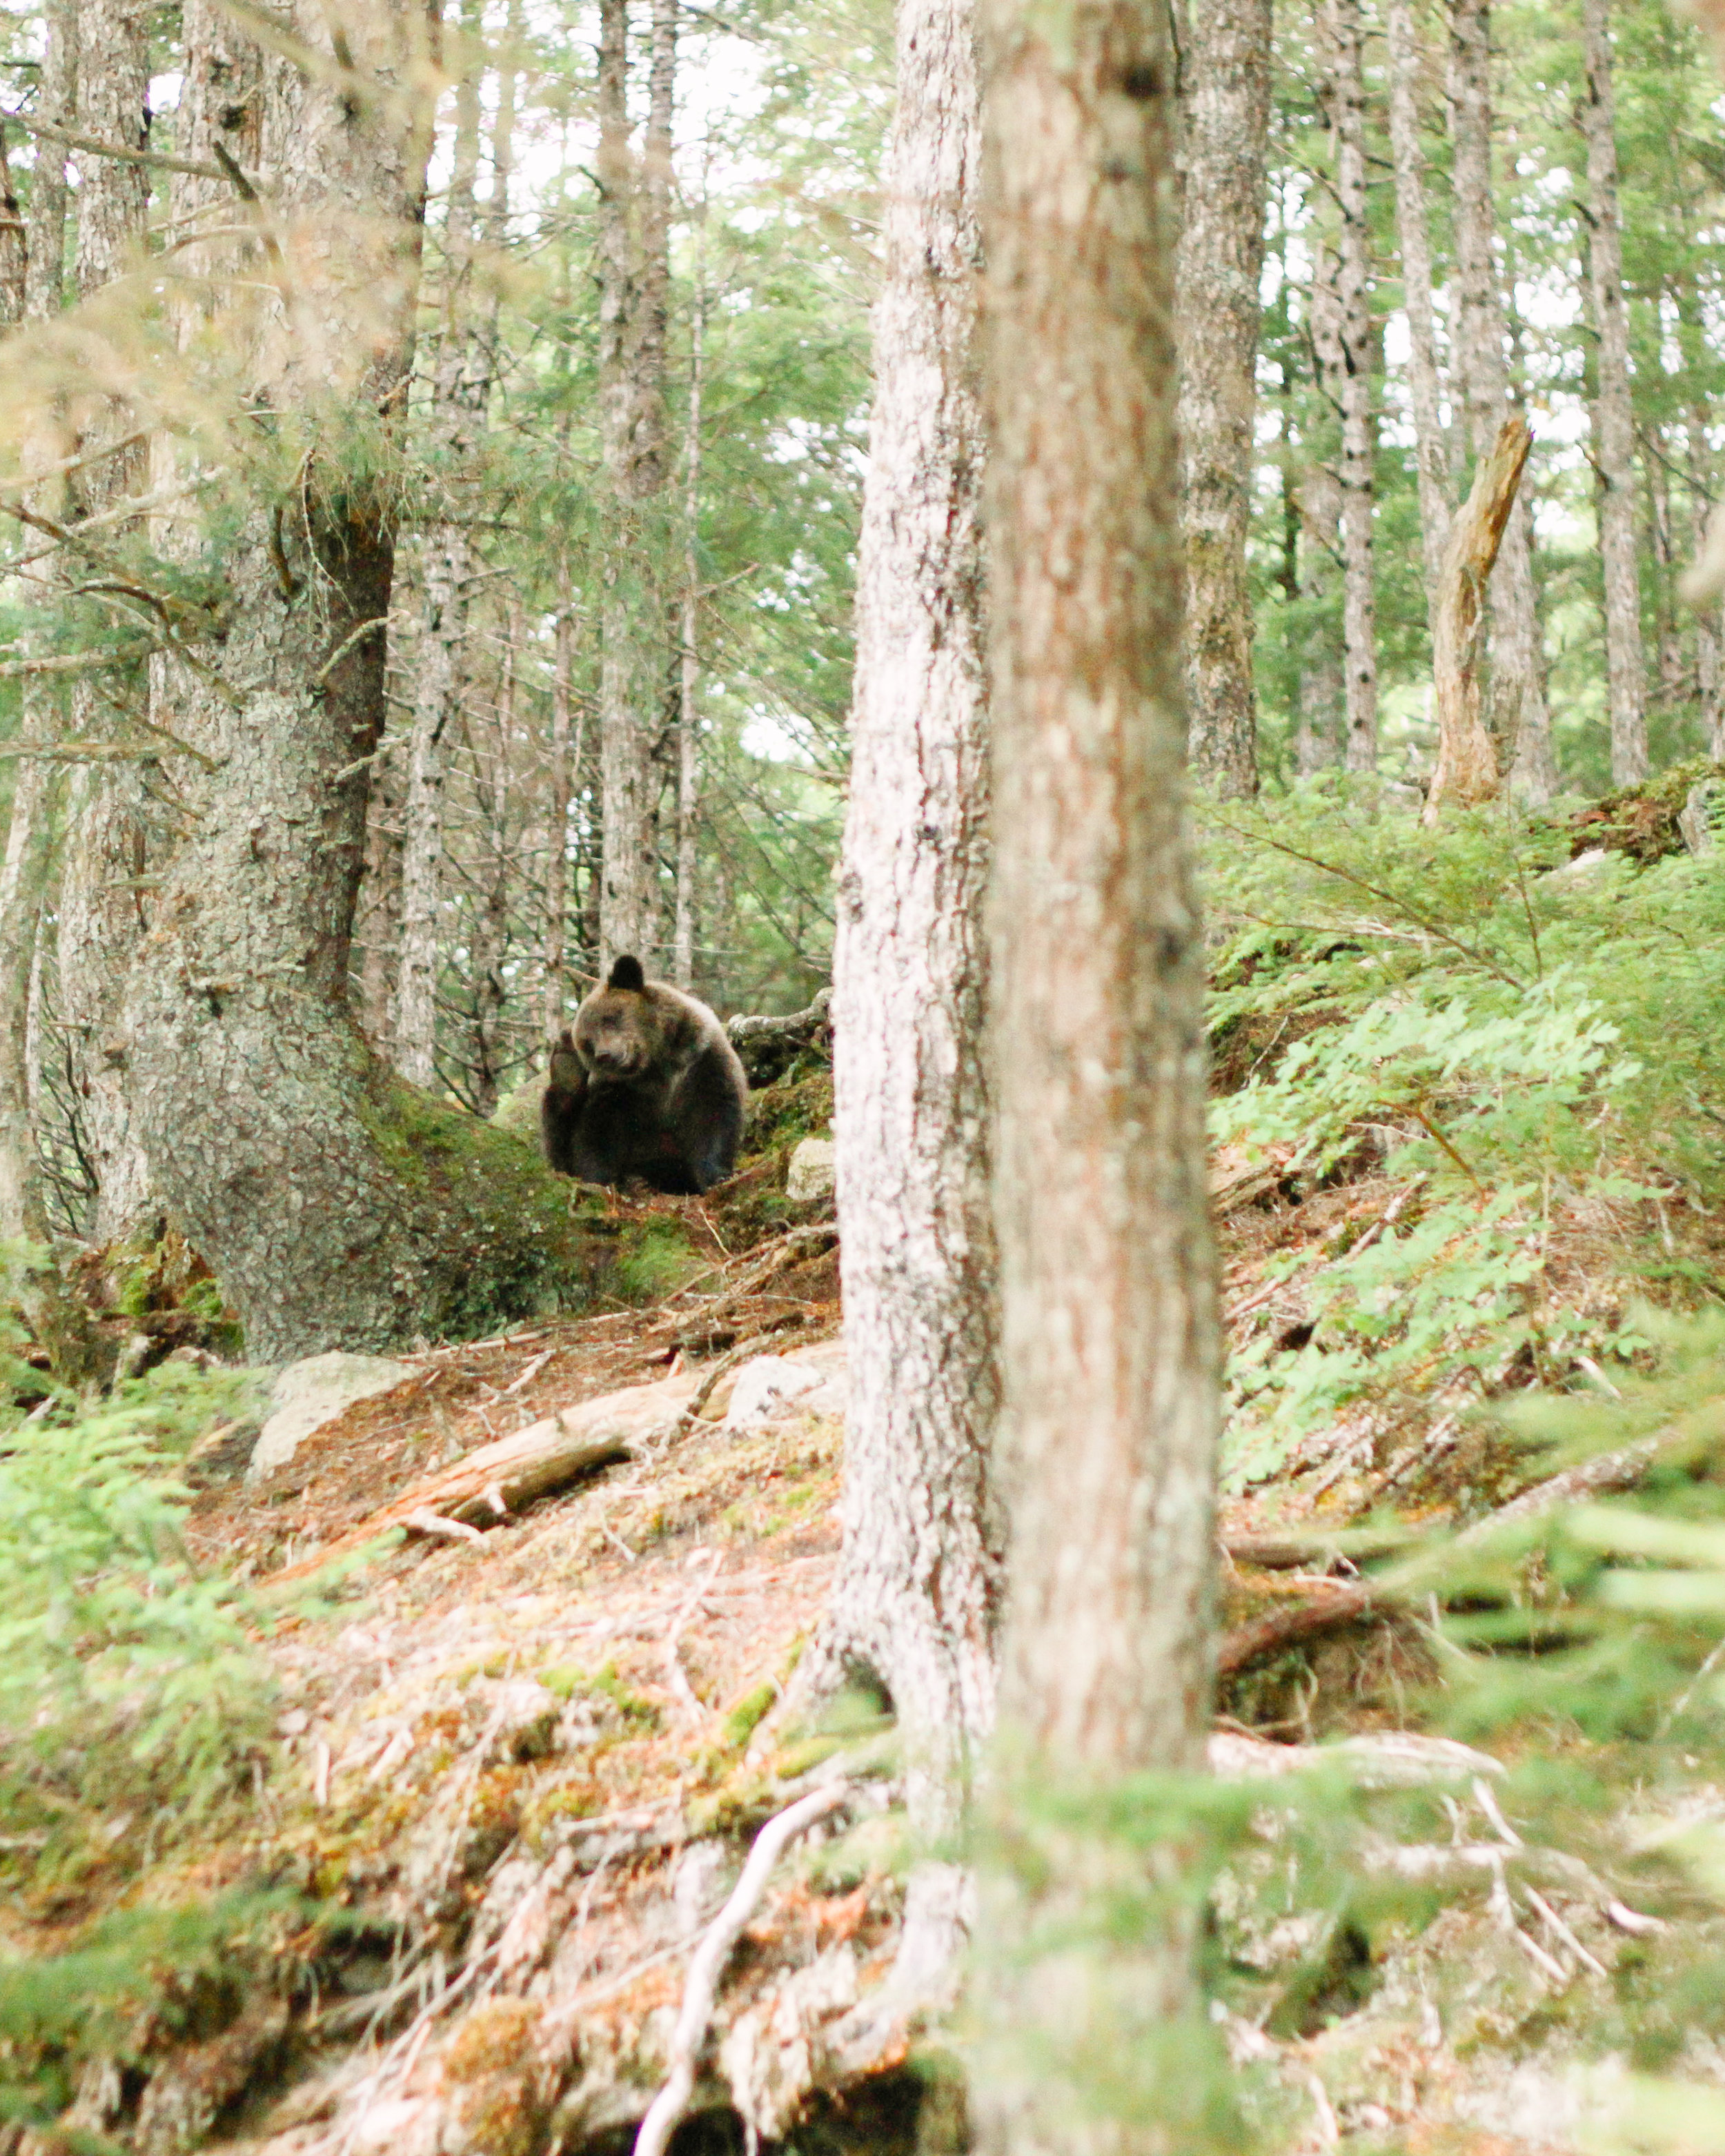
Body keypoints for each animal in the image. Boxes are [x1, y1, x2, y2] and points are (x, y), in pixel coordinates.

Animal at [539, 957, 746, 1198]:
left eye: (610, 1019)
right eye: (588, 1043)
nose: (605, 1055)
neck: (654, 1068)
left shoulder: (700, 1061)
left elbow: (714, 1116)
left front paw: (718, 1175)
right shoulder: (620, 1093)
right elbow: (597, 1134)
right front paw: (602, 1181)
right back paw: (566, 1069)